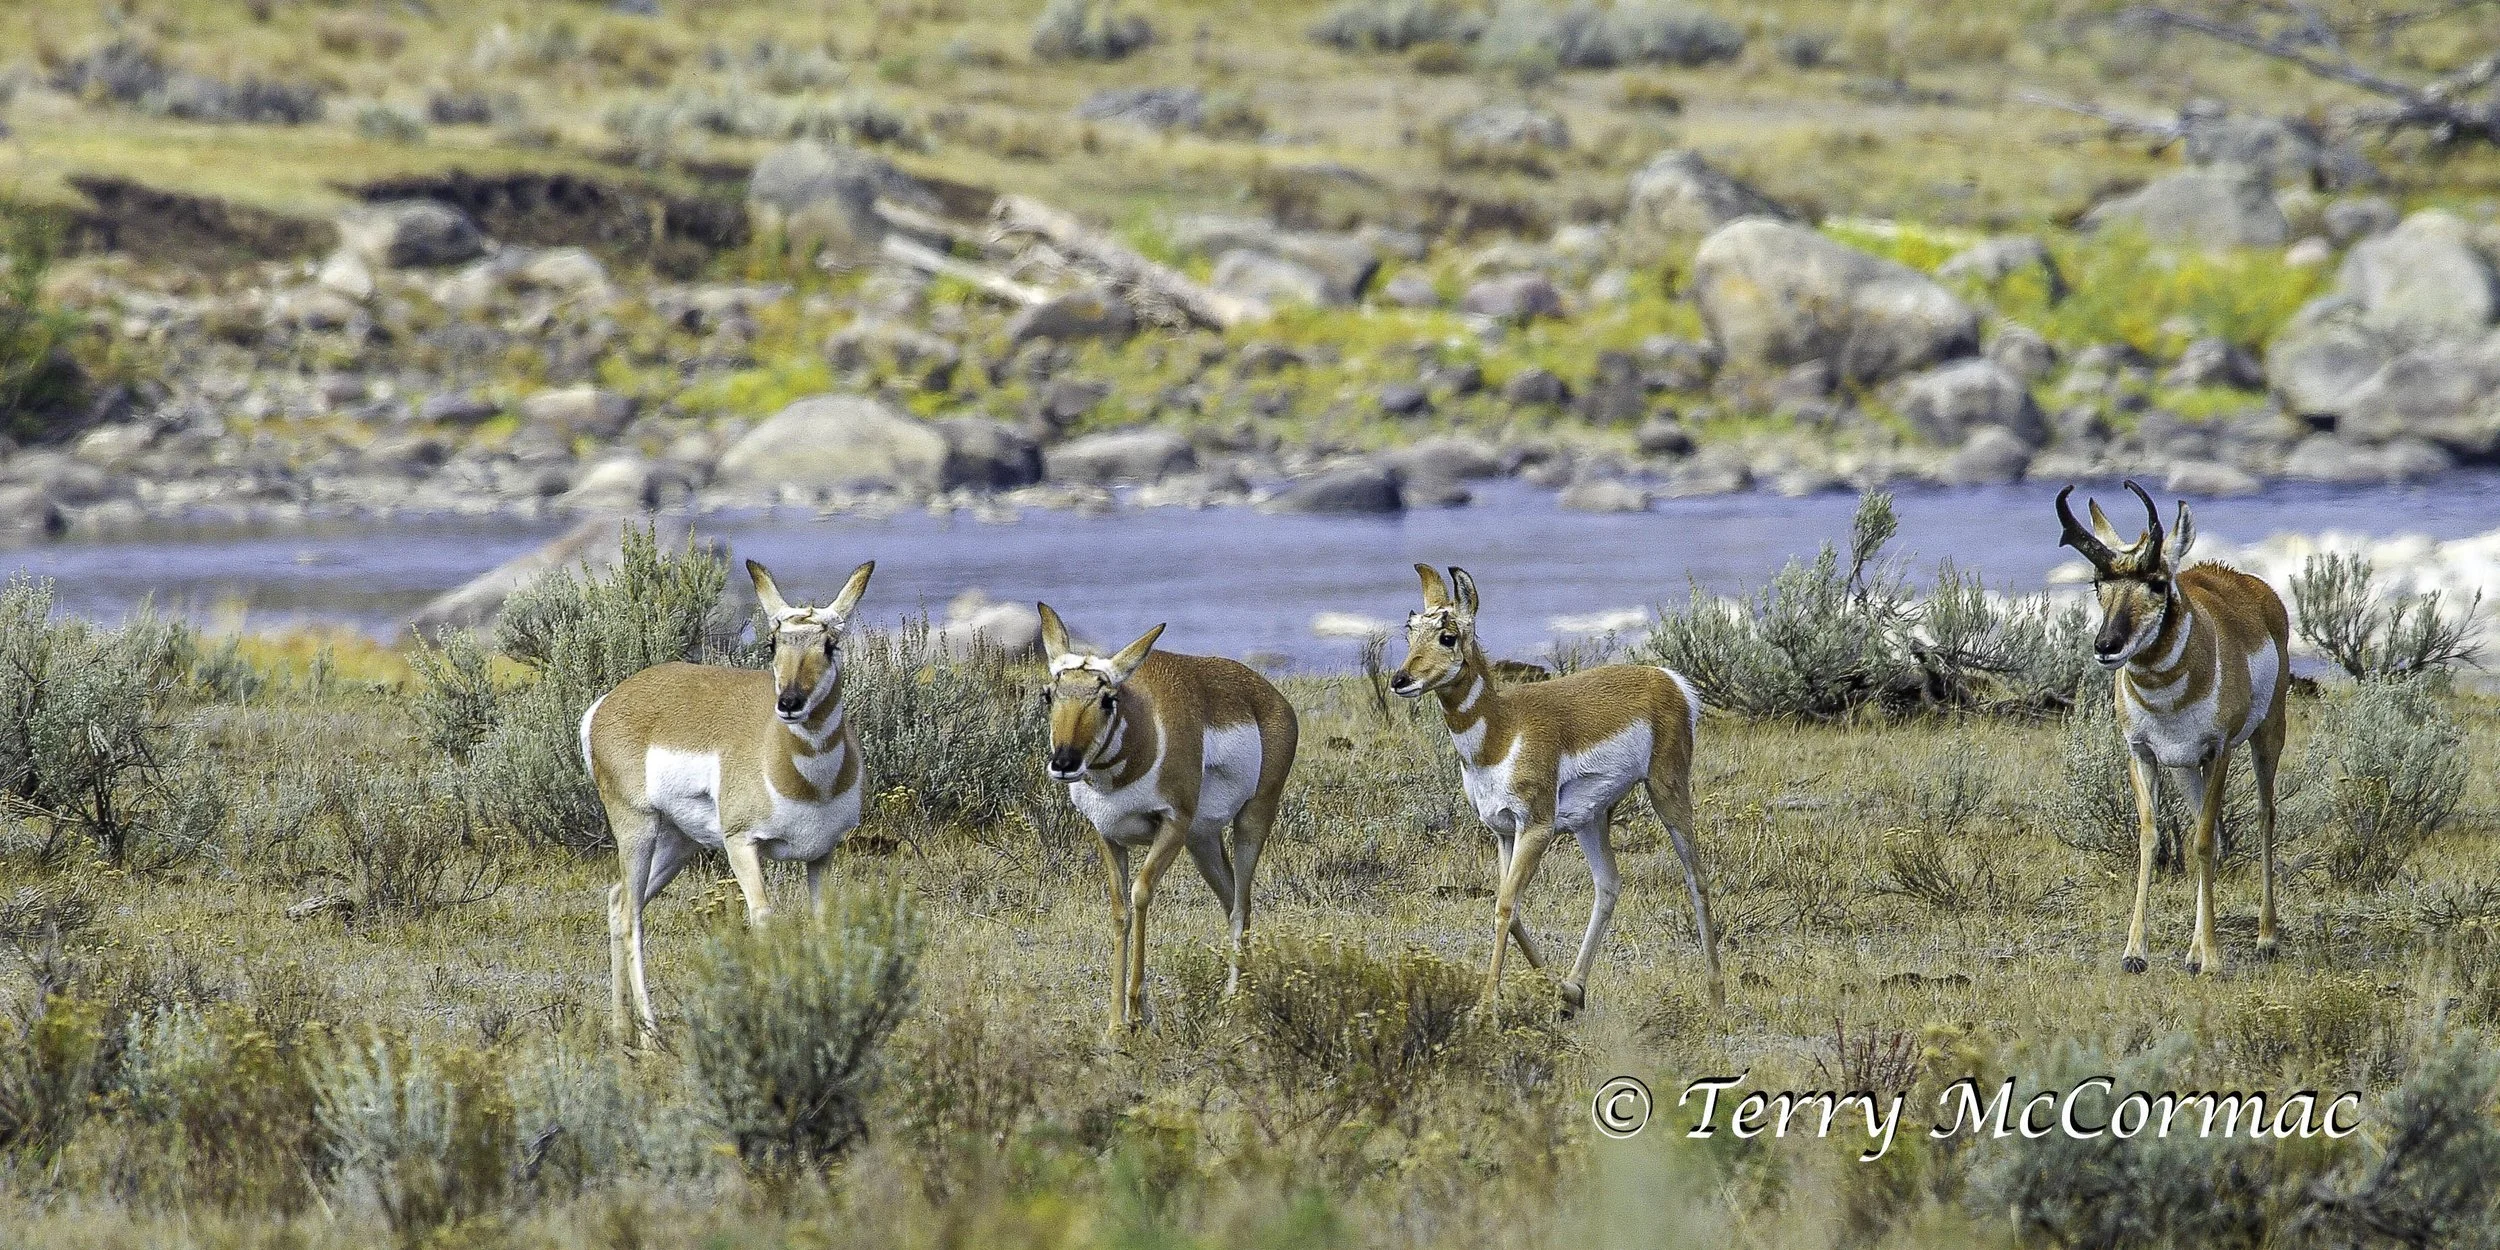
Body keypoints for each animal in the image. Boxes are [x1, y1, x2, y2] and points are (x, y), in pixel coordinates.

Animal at [581, 558, 875, 1045]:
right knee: (631, 917)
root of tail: (607, 703)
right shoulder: (742, 844)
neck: (803, 776)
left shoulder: (821, 854)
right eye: (773, 642)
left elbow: (822, 922)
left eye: (829, 645)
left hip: (679, 843)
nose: (789, 702)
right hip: (638, 829)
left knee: (619, 898)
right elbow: (763, 918)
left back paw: (622, 1031)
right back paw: (650, 1035)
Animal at [1036, 604, 1298, 1034]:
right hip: (1202, 842)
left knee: (1241, 904)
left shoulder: (1172, 827)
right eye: (1049, 695)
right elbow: (1120, 911)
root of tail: (1269, 696)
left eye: (1108, 698)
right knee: (1231, 899)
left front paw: (1137, 1012)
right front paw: (1114, 1023)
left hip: (1251, 822)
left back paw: (1232, 1000)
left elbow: (1141, 894)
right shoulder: (1108, 836)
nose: (1064, 763)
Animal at [1390, 565, 1720, 1013]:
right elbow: (1512, 911)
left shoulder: (1537, 828)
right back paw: (1575, 986)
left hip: (1667, 790)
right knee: (1609, 884)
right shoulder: (1503, 832)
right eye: (1409, 631)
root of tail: (1666, 678)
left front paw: (1486, 1005)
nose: (1399, 680)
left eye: (1448, 635)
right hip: (1591, 819)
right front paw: (1558, 988)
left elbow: (1505, 907)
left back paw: (1717, 995)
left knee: (1696, 877)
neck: (1503, 730)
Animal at [2056, 480, 2290, 976]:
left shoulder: (2218, 751)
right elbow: (2152, 838)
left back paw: (2265, 937)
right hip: (2184, 769)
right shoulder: (2142, 753)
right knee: (2214, 833)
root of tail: (2246, 583)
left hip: (2266, 737)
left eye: (2158, 583)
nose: (2106, 646)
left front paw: (2215, 961)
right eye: (2098, 583)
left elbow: (2199, 841)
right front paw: (2134, 953)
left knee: (2264, 816)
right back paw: (2193, 951)